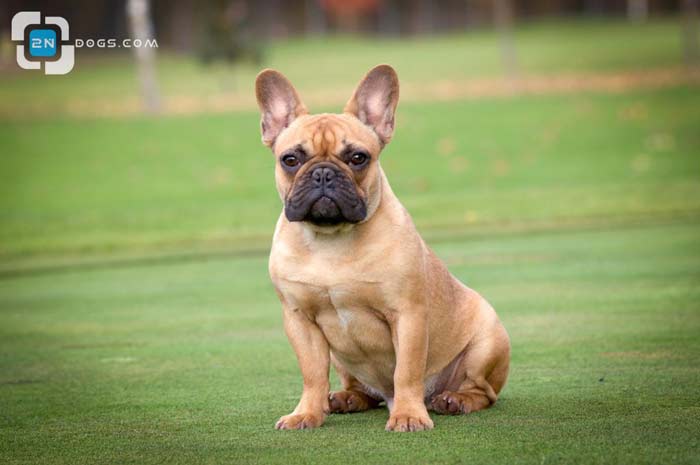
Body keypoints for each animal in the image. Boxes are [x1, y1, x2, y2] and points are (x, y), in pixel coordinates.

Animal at [255, 64, 510, 432]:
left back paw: (454, 399)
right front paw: (306, 413)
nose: (322, 174)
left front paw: (408, 415)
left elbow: (407, 370)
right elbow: (312, 373)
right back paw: (346, 398)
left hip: (487, 342)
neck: (331, 240)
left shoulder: (407, 315)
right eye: (290, 159)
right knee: (358, 387)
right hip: (342, 357)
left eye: (358, 157)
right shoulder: (299, 319)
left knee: (483, 392)